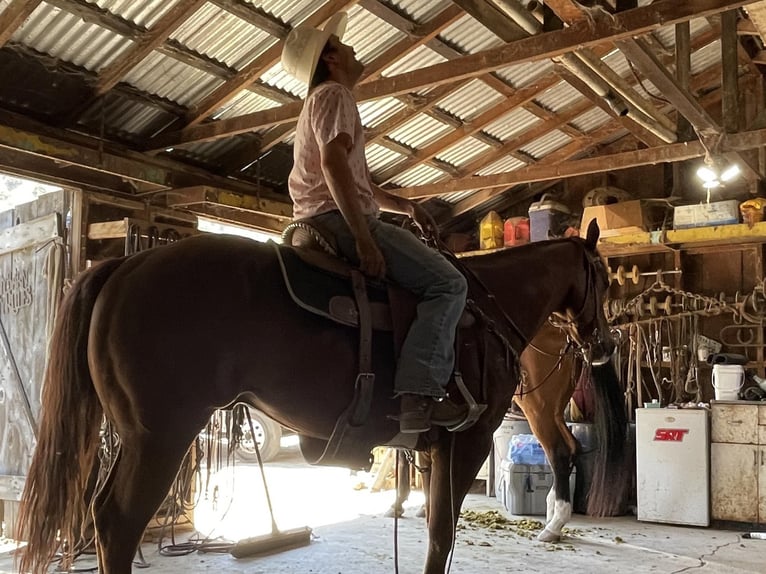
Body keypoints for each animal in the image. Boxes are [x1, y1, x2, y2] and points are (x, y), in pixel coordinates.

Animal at [18, 222, 616, 574]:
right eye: (606, 279)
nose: (604, 345)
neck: (489, 308)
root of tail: (125, 265)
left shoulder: (434, 448)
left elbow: (432, 530)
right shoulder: (467, 441)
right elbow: (441, 536)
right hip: (160, 436)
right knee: (118, 523)